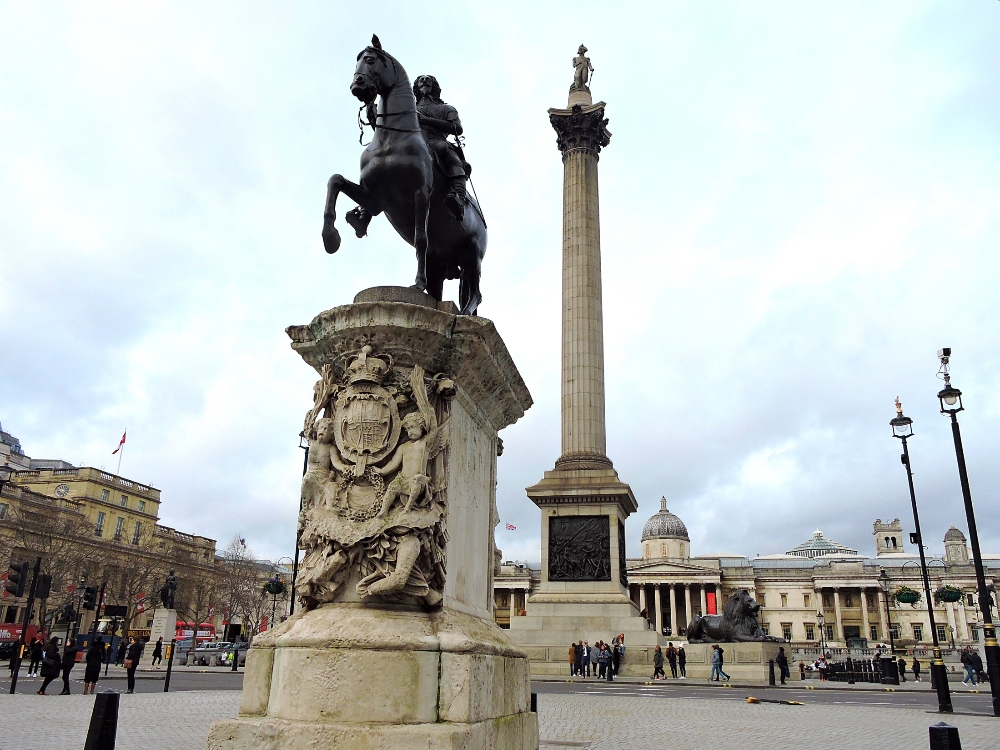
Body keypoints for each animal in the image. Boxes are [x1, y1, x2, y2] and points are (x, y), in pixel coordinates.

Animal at [322, 36, 486, 318]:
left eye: (370, 60)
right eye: (357, 60)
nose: (357, 85)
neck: (391, 139)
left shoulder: (420, 194)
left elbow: (421, 238)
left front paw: (416, 285)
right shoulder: (375, 198)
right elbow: (335, 180)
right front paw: (331, 238)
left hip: (472, 254)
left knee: (475, 292)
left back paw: (464, 313)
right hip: (441, 263)